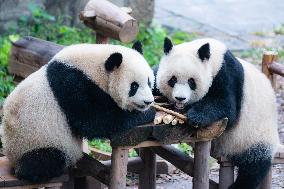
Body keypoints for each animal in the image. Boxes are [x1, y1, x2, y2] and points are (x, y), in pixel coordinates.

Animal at [1, 41, 155, 183]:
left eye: (149, 81)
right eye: (134, 86)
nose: (148, 101)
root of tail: (11, 157)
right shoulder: (73, 85)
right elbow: (95, 121)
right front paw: (147, 113)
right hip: (35, 141)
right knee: (46, 159)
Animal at [156, 37, 280, 188]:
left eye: (191, 81)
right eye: (172, 79)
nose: (180, 98)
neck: (214, 57)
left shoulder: (227, 75)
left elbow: (226, 106)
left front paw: (195, 116)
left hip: (256, 136)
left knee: (254, 166)